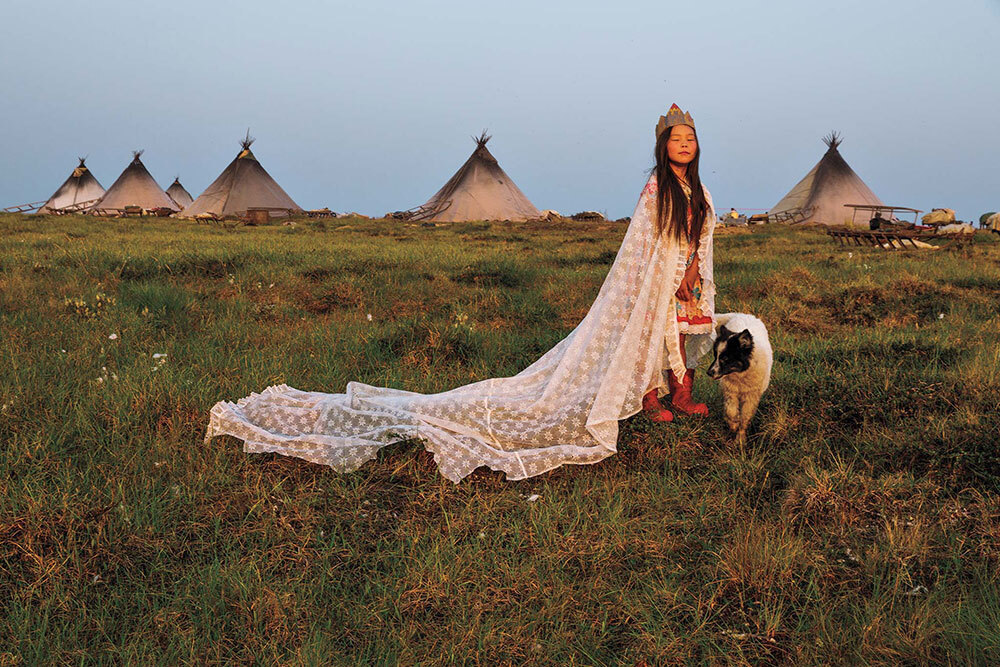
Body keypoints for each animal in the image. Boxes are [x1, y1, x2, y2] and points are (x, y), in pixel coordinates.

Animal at [704, 314, 772, 444]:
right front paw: (733, 425)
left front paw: (740, 439)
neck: (741, 375)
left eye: (725, 358)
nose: (709, 373)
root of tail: (743, 314)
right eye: (715, 356)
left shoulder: (751, 397)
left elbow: (745, 418)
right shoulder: (730, 392)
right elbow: (731, 411)